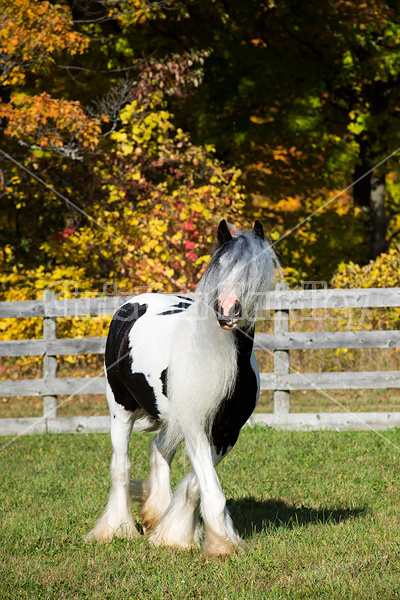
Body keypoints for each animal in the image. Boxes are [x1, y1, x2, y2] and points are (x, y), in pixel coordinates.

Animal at [86, 220, 276, 556]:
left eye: (253, 270)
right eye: (219, 265)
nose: (227, 311)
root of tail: (133, 303)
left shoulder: (227, 433)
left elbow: (195, 485)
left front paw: (173, 534)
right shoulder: (194, 425)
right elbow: (211, 490)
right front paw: (221, 547)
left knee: (160, 450)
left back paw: (154, 515)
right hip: (120, 410)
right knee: (121, 467)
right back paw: (118, 530)